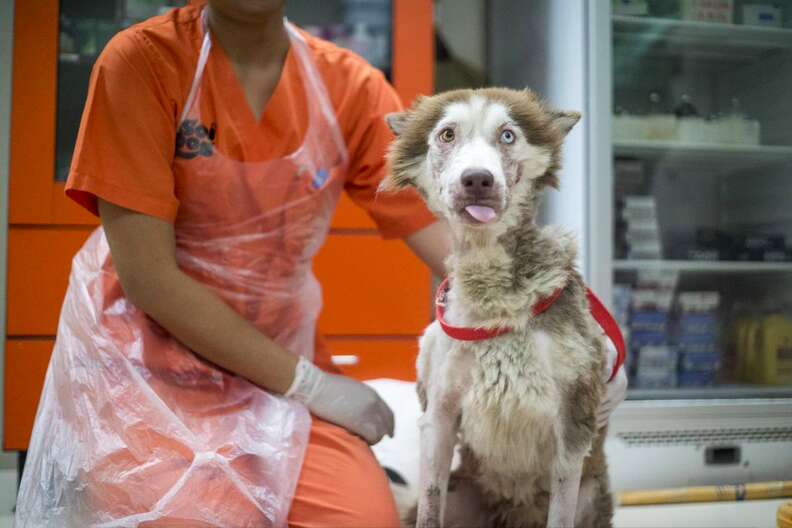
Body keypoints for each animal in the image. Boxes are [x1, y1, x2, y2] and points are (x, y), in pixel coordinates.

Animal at [384, 88, 620, 524]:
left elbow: (560, 514)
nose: (477, 179)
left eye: (507, 135)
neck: (493, 300)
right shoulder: (439, 417)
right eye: (447, 134)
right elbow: (429, 506)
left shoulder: (572, 422)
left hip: (592, 494)